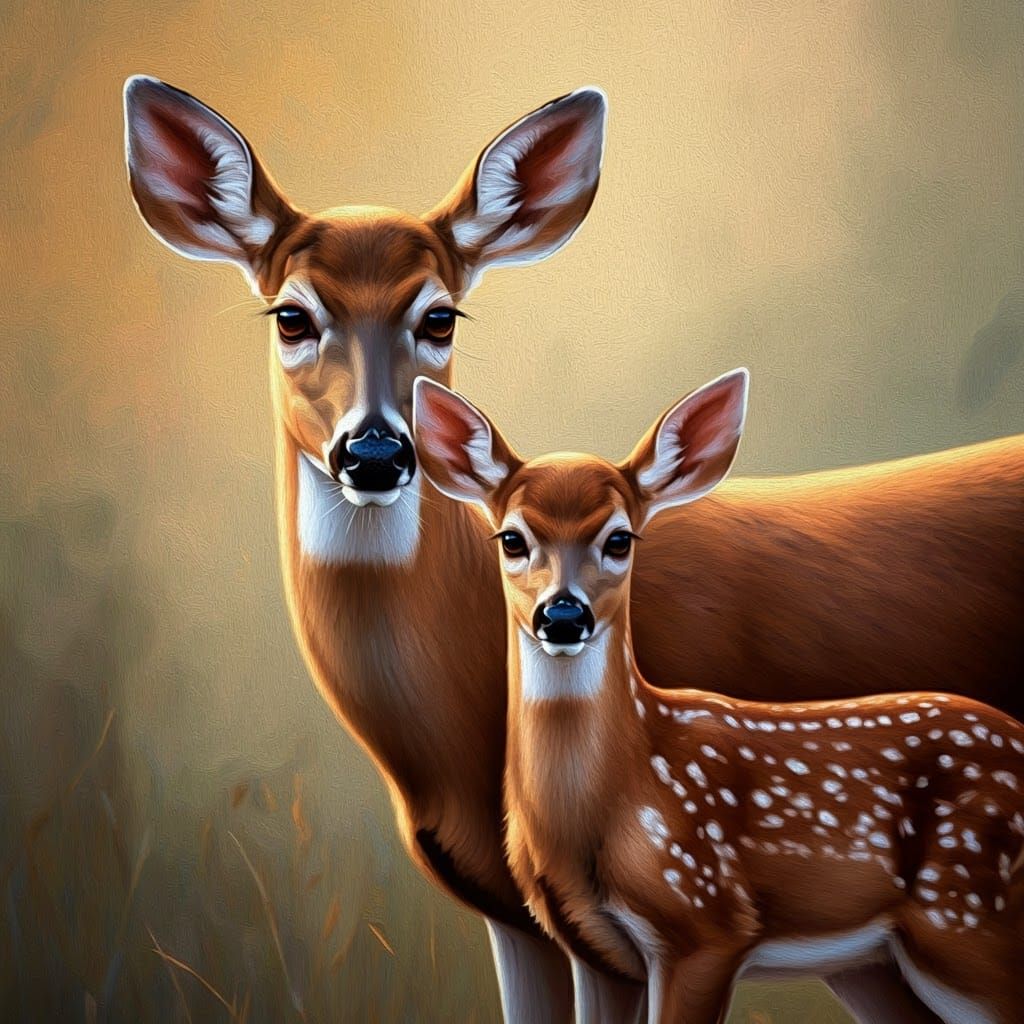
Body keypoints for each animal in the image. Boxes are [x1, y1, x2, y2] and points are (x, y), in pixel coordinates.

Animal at [413, 369, 1024, 1024]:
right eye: (511, 538)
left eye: (620, 538)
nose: (563, 615)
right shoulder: (594, 949)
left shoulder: (708, 925)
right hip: (881, 961)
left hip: (966, 916)